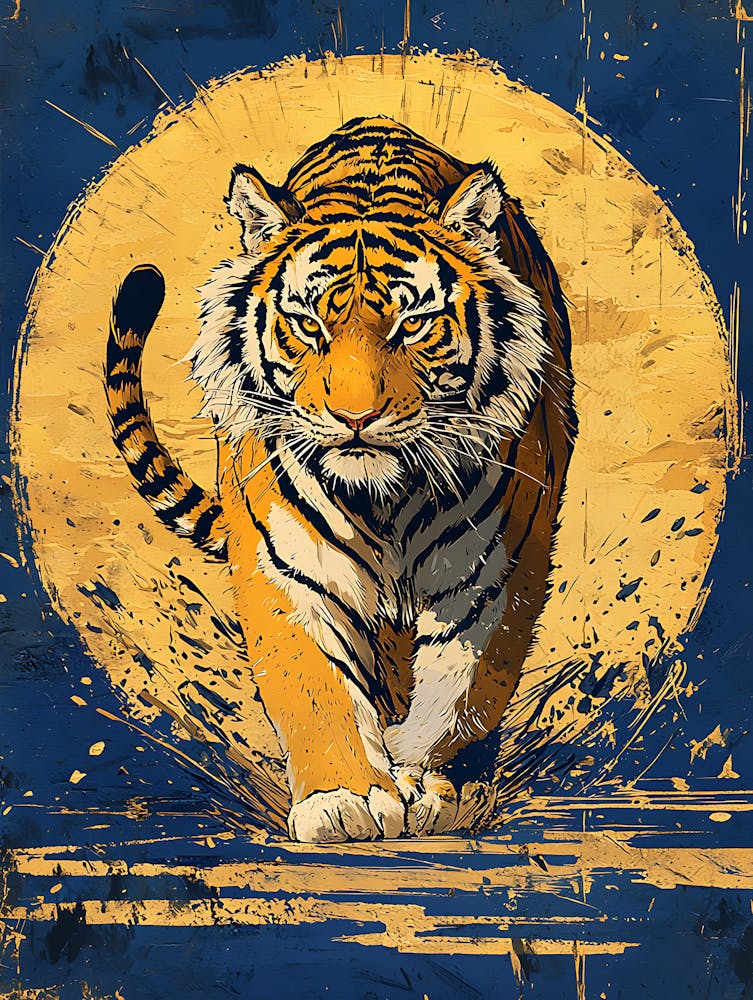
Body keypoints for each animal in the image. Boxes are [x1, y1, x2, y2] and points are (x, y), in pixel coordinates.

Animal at [106, 115, 576, 843]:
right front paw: (342, 799)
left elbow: (461, 688)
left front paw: (427, 784)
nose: (355, 417)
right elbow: (314, 682)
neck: (387, 497)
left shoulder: (494, 571)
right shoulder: (287, 561)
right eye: (307, 324)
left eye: (414, 323)